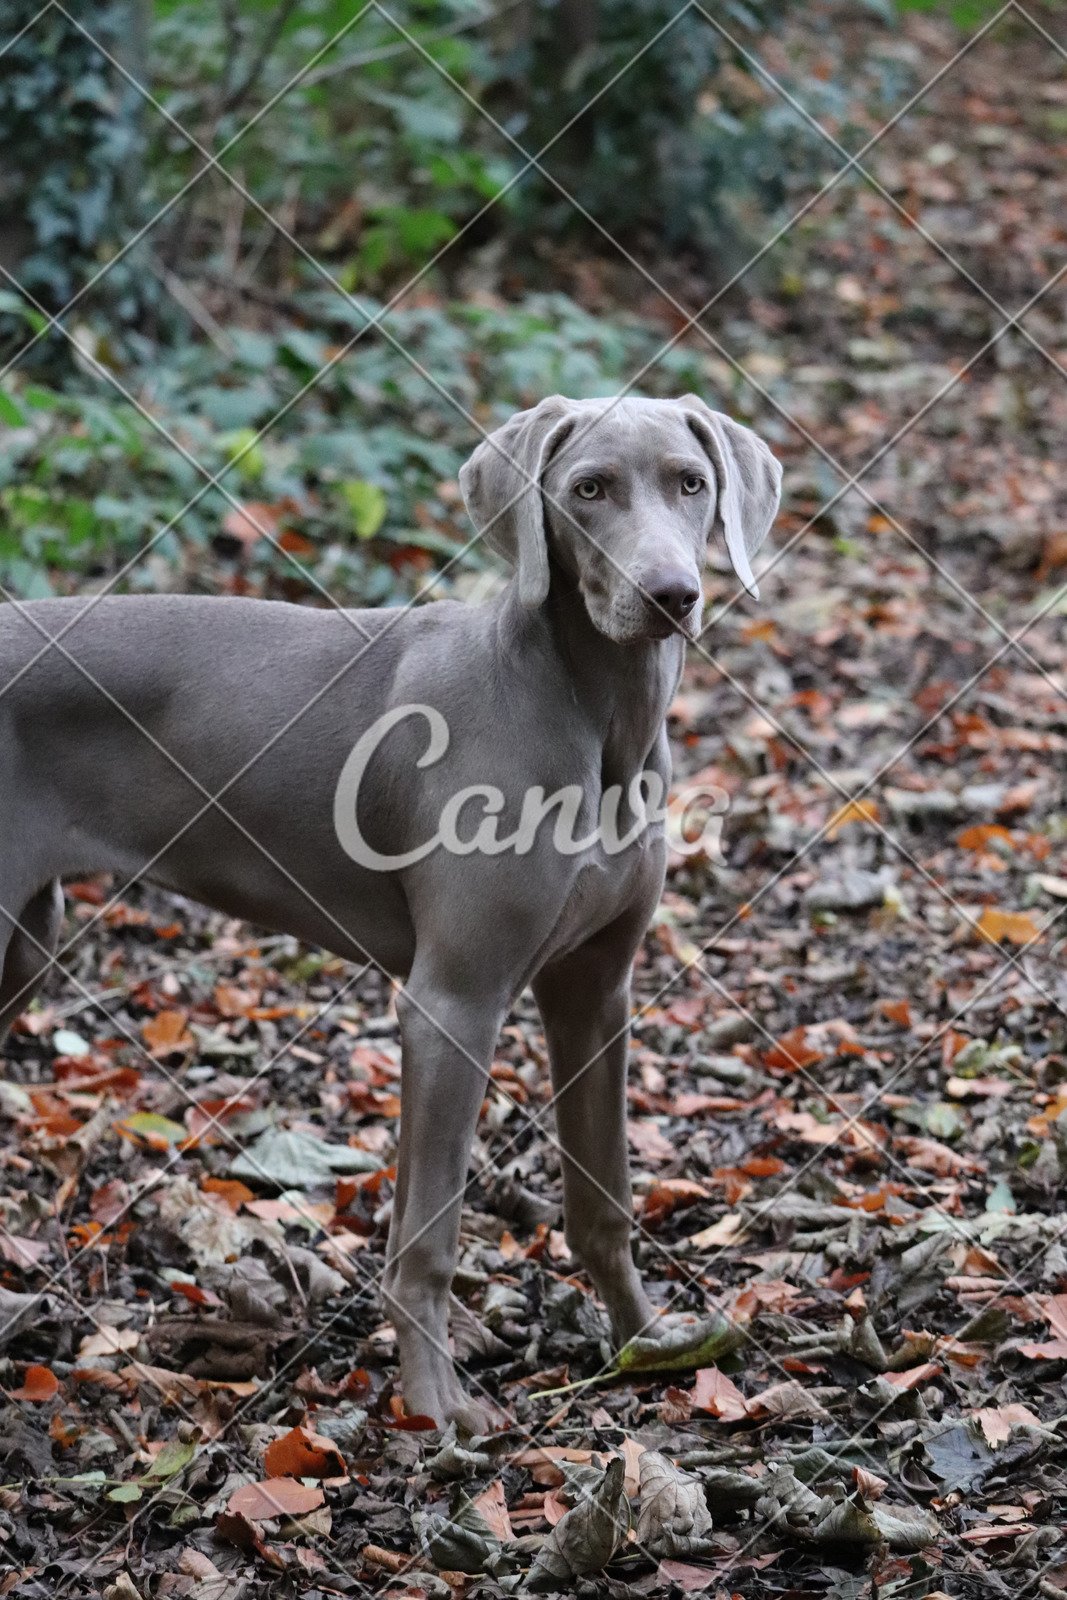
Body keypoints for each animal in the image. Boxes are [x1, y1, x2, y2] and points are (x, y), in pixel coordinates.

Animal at [0, 393, 780, 1433]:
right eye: (588, 490)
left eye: (690, 483)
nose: (669, 596)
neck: (596, 715)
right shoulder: (453, 1004)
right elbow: (432, 1233)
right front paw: (435, 1404)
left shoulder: (596, 992)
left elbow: (599, 1200)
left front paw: (644, 1342)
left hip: (23, 942)